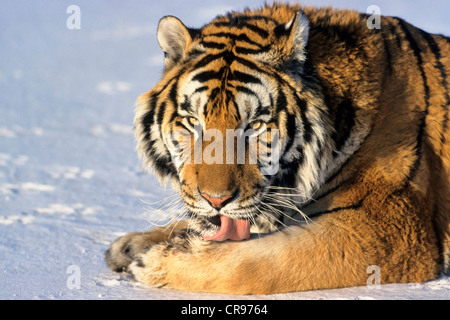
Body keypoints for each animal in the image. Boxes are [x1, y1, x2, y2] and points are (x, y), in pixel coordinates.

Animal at [106, 3, 450, 296]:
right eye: (193, 121)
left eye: (255, 125)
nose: (215, 200)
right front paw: (133, 244)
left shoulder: (390, 229)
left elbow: (260, 261)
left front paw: (157, 261)